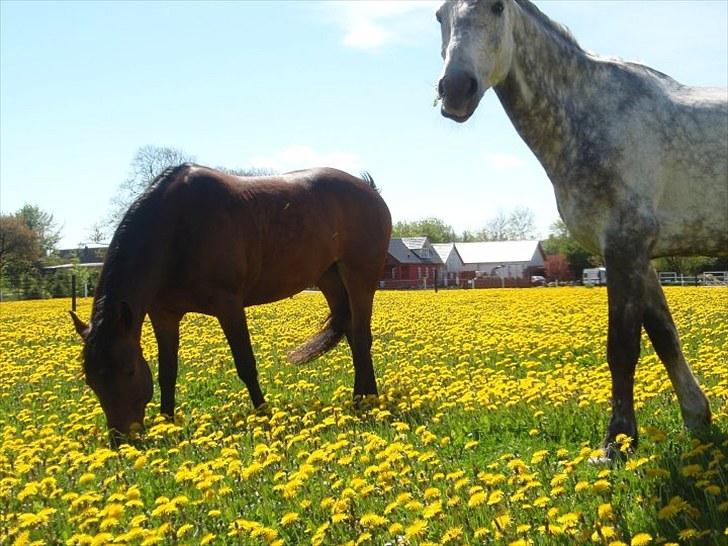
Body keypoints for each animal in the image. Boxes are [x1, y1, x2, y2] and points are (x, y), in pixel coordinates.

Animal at [70, 164, 390, 440]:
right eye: (90, 379)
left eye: (130, 371)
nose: (121, 439)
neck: (177, 228)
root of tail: (370, 190)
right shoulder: (164, 315)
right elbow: (167, 372)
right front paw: (167, 422)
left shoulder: (229, 306)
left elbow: (245, 364)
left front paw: (263, 413)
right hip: (328, 277)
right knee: (352, 334)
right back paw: (361, 397)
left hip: (359, 277)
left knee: (362, 337)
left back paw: (366, 400)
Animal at [436, 0, 724, 454]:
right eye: (439, 15)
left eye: (496, 8)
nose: (455, 89)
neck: (592, 112)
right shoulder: (640, 257)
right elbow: (665, 336)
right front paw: (696, 418)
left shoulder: (623, 246)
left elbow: (623, 347)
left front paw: (616, 442)